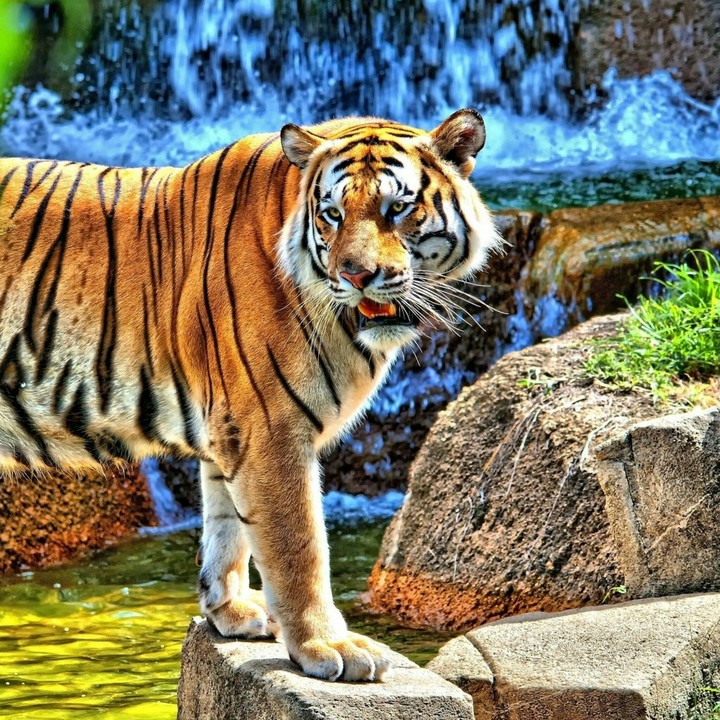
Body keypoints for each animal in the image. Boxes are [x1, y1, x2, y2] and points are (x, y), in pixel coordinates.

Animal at [0, 108, 501, 681]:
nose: (356, 275)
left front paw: (232, 612)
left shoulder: (229, 427)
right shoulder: (270, 429)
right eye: (332, 214)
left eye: (397, 208)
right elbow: (298, 546)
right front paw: (329, 646)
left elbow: (227, 528)